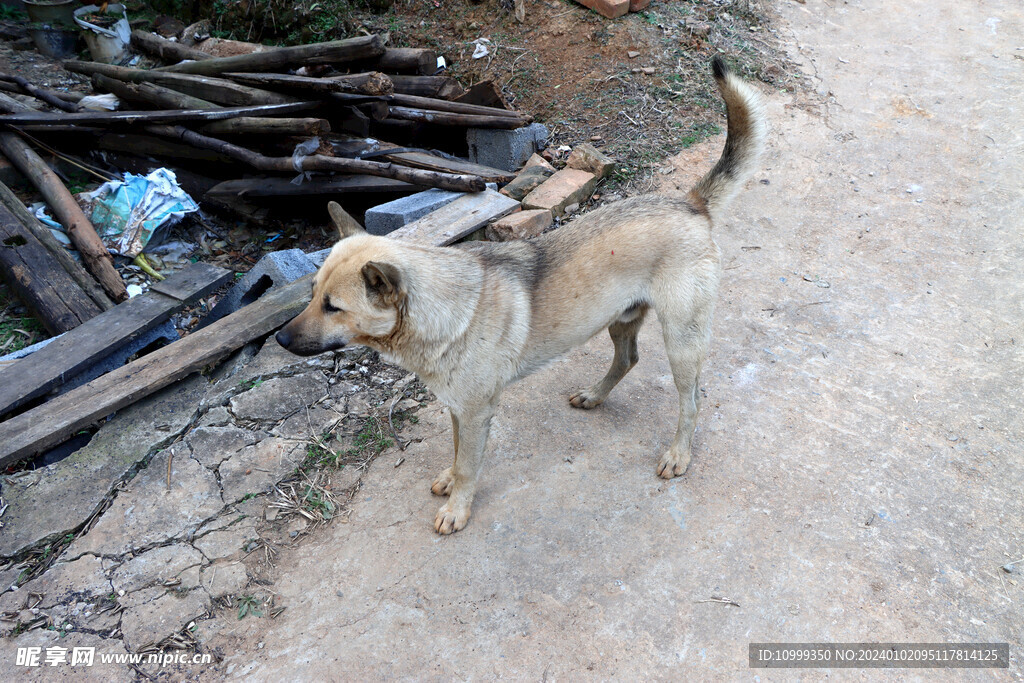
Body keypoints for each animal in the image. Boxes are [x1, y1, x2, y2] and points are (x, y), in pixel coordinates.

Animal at [276, 58, 765, 532]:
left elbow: (470, 465)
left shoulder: (477, 411)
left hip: (681, 340)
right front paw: (450, 480)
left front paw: (458, 508)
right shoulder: (458, 407)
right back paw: (594, 396)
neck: (446, 311)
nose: (279, 339)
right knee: (628, 359)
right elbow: (457, 452)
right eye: (312, 294)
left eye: (333, 307)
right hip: (622, 319)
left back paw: (679, 453)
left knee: (692, 399)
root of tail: (689, 202)